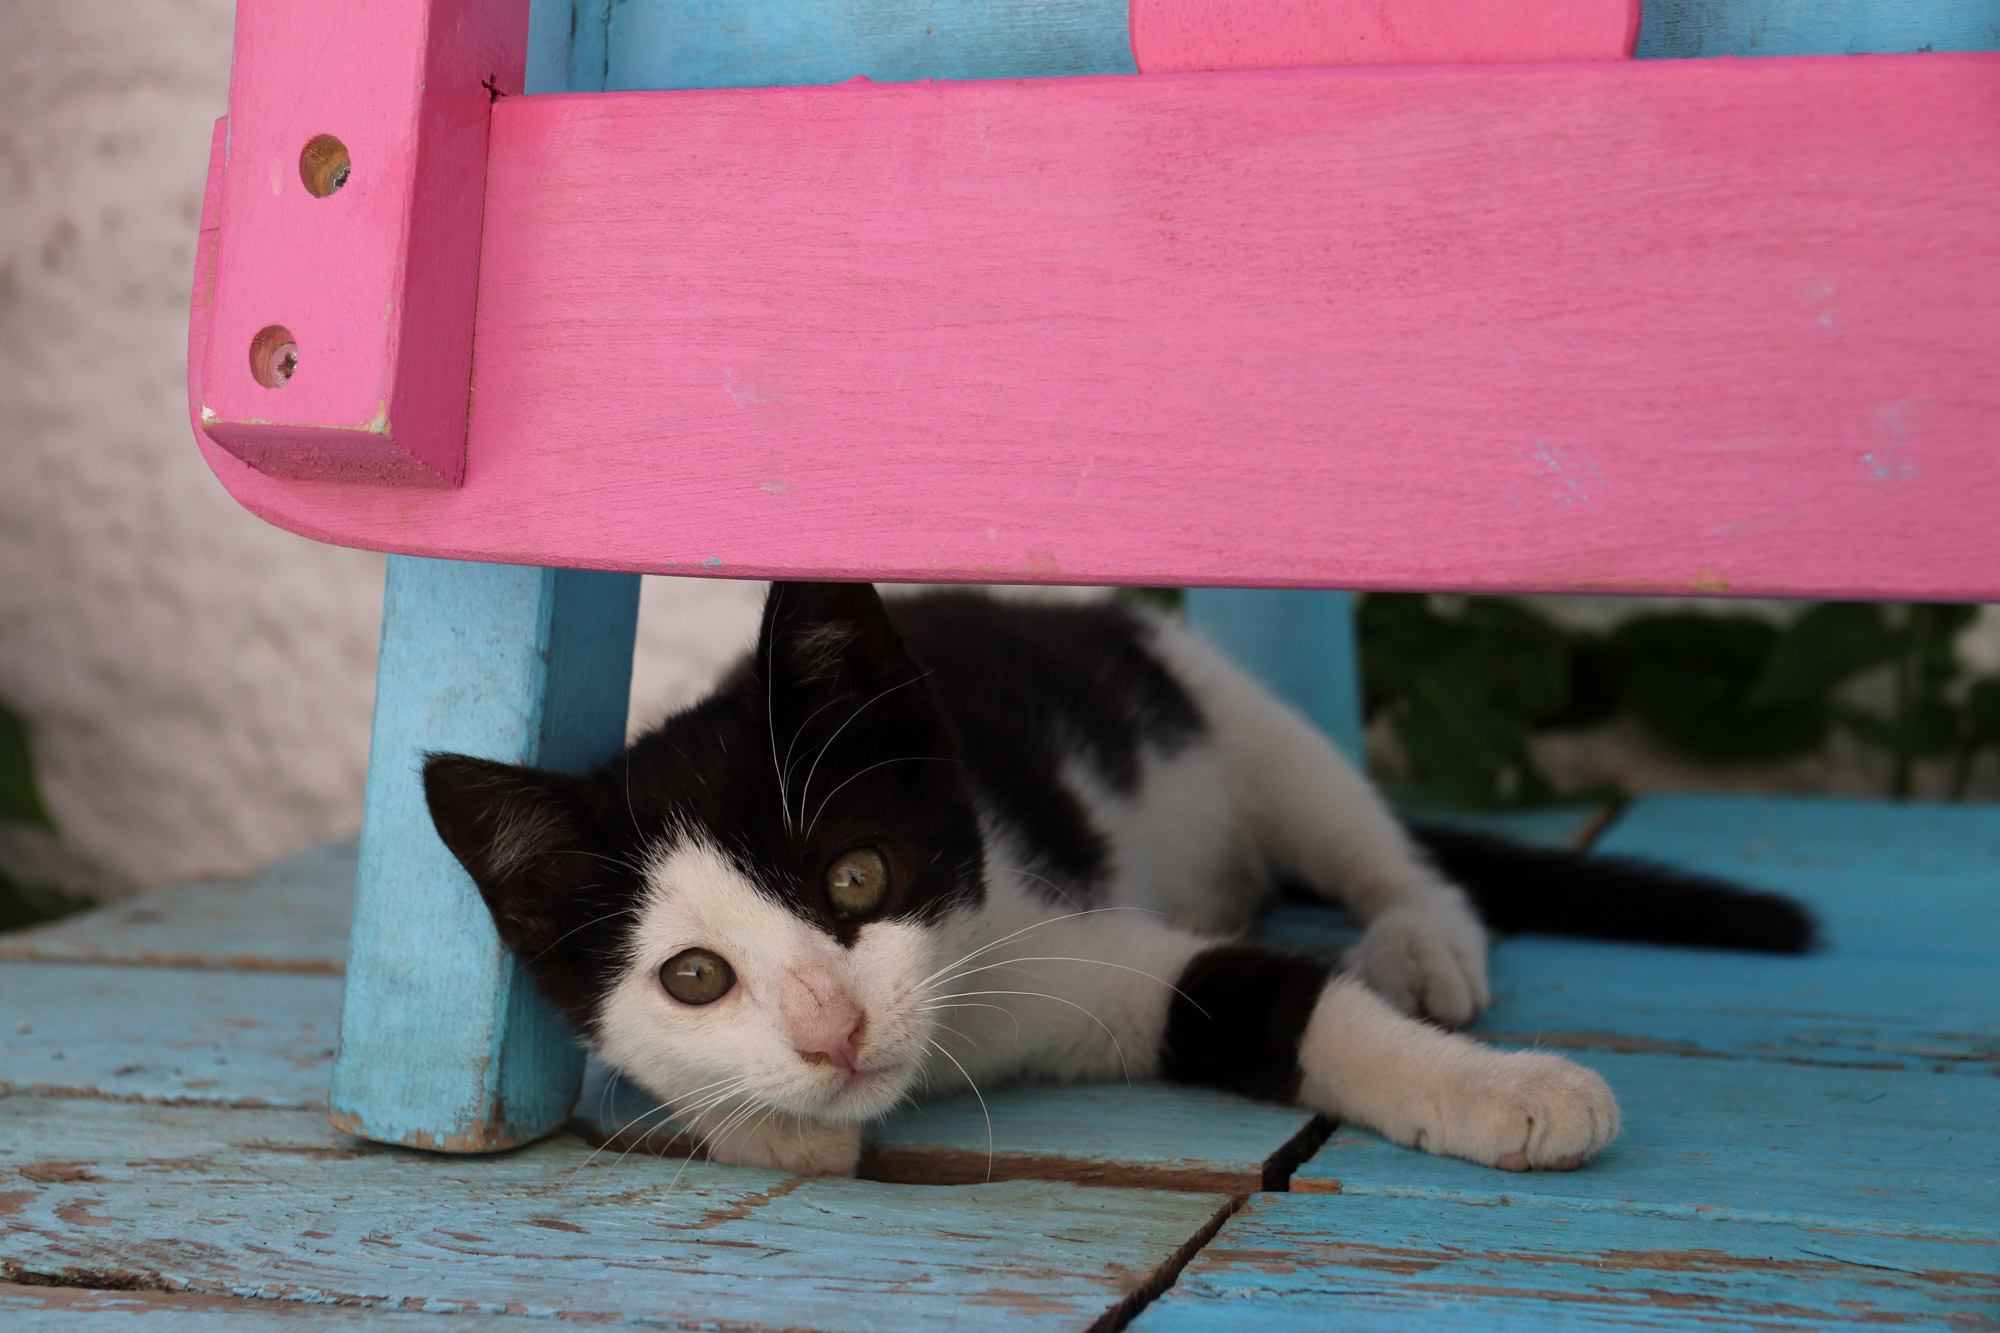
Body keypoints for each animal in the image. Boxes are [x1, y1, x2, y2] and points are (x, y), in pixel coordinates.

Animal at [426, 580, 1816, 1176]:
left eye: (858, 877)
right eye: (695, 977)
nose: (834, 1034)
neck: (955, 1051)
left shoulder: (1064, 934)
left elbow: (1295, 1006)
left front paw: (1506, 1093)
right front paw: (767, 1121)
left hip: (1231, 711)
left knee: (1375, 845)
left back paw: (1420, 939)